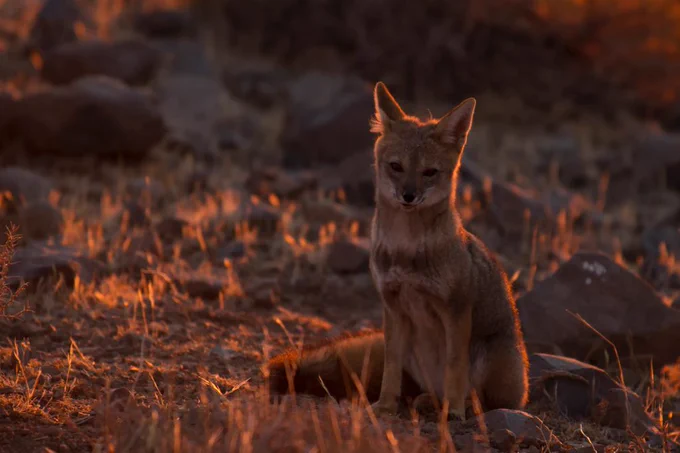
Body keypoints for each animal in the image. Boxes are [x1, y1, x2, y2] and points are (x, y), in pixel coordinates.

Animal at [266, 82, 529, 420]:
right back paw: (428, 401)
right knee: (425, 389)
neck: (406, 248)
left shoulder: (456, 310)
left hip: (487, 356)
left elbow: (455, 367)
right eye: (396, 167)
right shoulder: (392, 307)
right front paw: (385, 405)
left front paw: (454, 411)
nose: (409, 195)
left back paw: (462, 405)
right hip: (415, 354)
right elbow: (391, 368)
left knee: (485, 399)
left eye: (430, 172)